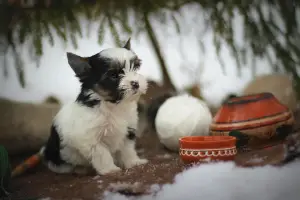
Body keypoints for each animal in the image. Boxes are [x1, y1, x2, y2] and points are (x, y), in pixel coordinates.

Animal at [41, 38, 149, 174]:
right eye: (113, 75)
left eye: (135, 68)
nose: (135, 83)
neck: (112, 105)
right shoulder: (89, 137)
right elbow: (101, 153)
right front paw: (110, 169)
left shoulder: (128, 130)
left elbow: (127, 149)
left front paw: (133, 162)